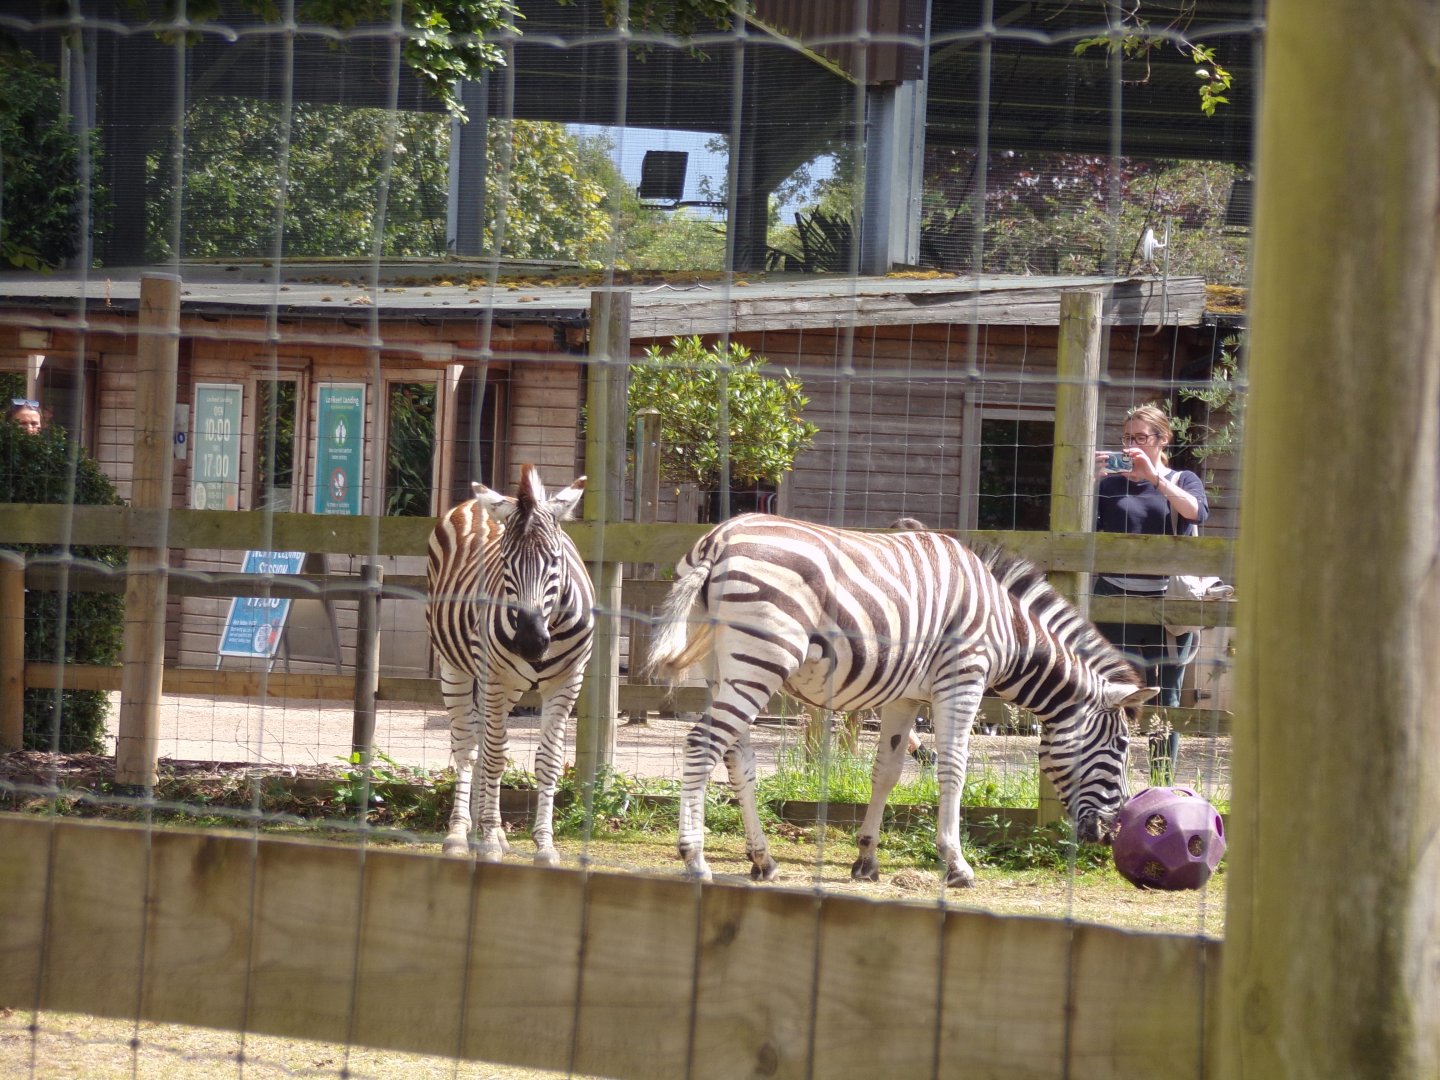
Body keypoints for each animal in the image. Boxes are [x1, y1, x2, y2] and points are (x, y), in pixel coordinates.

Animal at [425, 464, 595, 863]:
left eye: (555, 560)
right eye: (505, 562)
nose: (530, 641)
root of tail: (477, 502)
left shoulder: (568, 682)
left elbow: (549, 761)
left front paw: (544, 845)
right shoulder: (494, 677)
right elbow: (494, 757)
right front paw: (487, 840)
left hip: (507, 686)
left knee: (481, 739)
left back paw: (489, 830)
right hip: (458, 669)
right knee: (469, 746)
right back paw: (462, 834)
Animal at [645, 514, 1153, 887]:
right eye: (1122, 748)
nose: (1109, 835)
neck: (1008, 631)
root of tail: (717, 540)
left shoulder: (905, 697)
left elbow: (886, 772)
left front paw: (866, 860)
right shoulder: (963, 680)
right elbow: (953, 768)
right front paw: (957, 865)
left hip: (724, 668)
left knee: (737, 758)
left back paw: (763, 860)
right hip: (762, 660)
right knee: (702, 745)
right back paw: (695, 859)